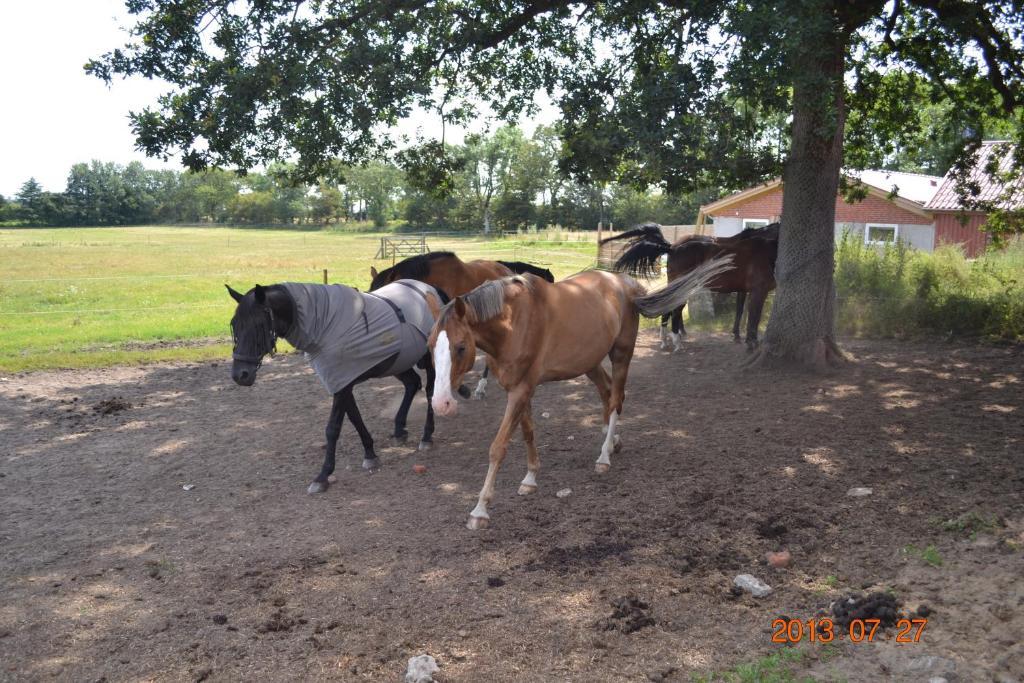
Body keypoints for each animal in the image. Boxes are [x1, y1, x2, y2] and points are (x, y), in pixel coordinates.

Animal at [228, 280, 444, 493]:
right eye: (235, 325)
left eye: (259, 325)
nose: (240, 375)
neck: (324, 326)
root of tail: (429, 290)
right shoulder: (341, 382)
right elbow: (355, 418)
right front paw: (370, 454)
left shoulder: (341, 386)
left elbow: (333, 429)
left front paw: (323, 475)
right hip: (398, 361)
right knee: (412, 384)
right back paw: (399, 429)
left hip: (429, 361)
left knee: (430, 392)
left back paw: (426, 436)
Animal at [428, 255, 733, 528]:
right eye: (430, 345)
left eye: (460, 347)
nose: (441, 404)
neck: (514, 323)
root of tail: (626, 285)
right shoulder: (518, 389)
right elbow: (528, 432)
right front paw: (530, 479)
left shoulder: (520, 390)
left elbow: (498, 447)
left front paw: (480, 510)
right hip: (590, 363)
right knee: (607, 392)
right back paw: (612, 441)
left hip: (621, 354)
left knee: (616, 398)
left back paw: (604, 457)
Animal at [598, 224, 774, 352]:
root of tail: (672, 247)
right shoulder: (756, 290)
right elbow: (752, 314)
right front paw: (748, 341)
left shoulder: (746, 290)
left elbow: (743, 311)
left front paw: (740, 336)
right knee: (674, 309)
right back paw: (676, 341)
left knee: (670, 309)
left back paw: (668, 340)